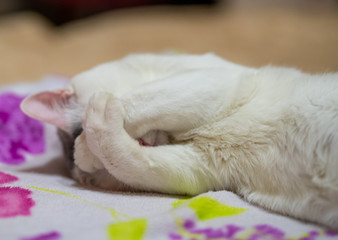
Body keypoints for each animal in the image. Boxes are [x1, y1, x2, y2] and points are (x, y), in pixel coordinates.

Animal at [21, 53, 338, 230]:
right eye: (102, 174)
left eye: (79, 127)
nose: (146, 143)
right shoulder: (196, 170)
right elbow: (125, 158)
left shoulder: (215, 80)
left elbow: (137, 101)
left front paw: (85, 144)